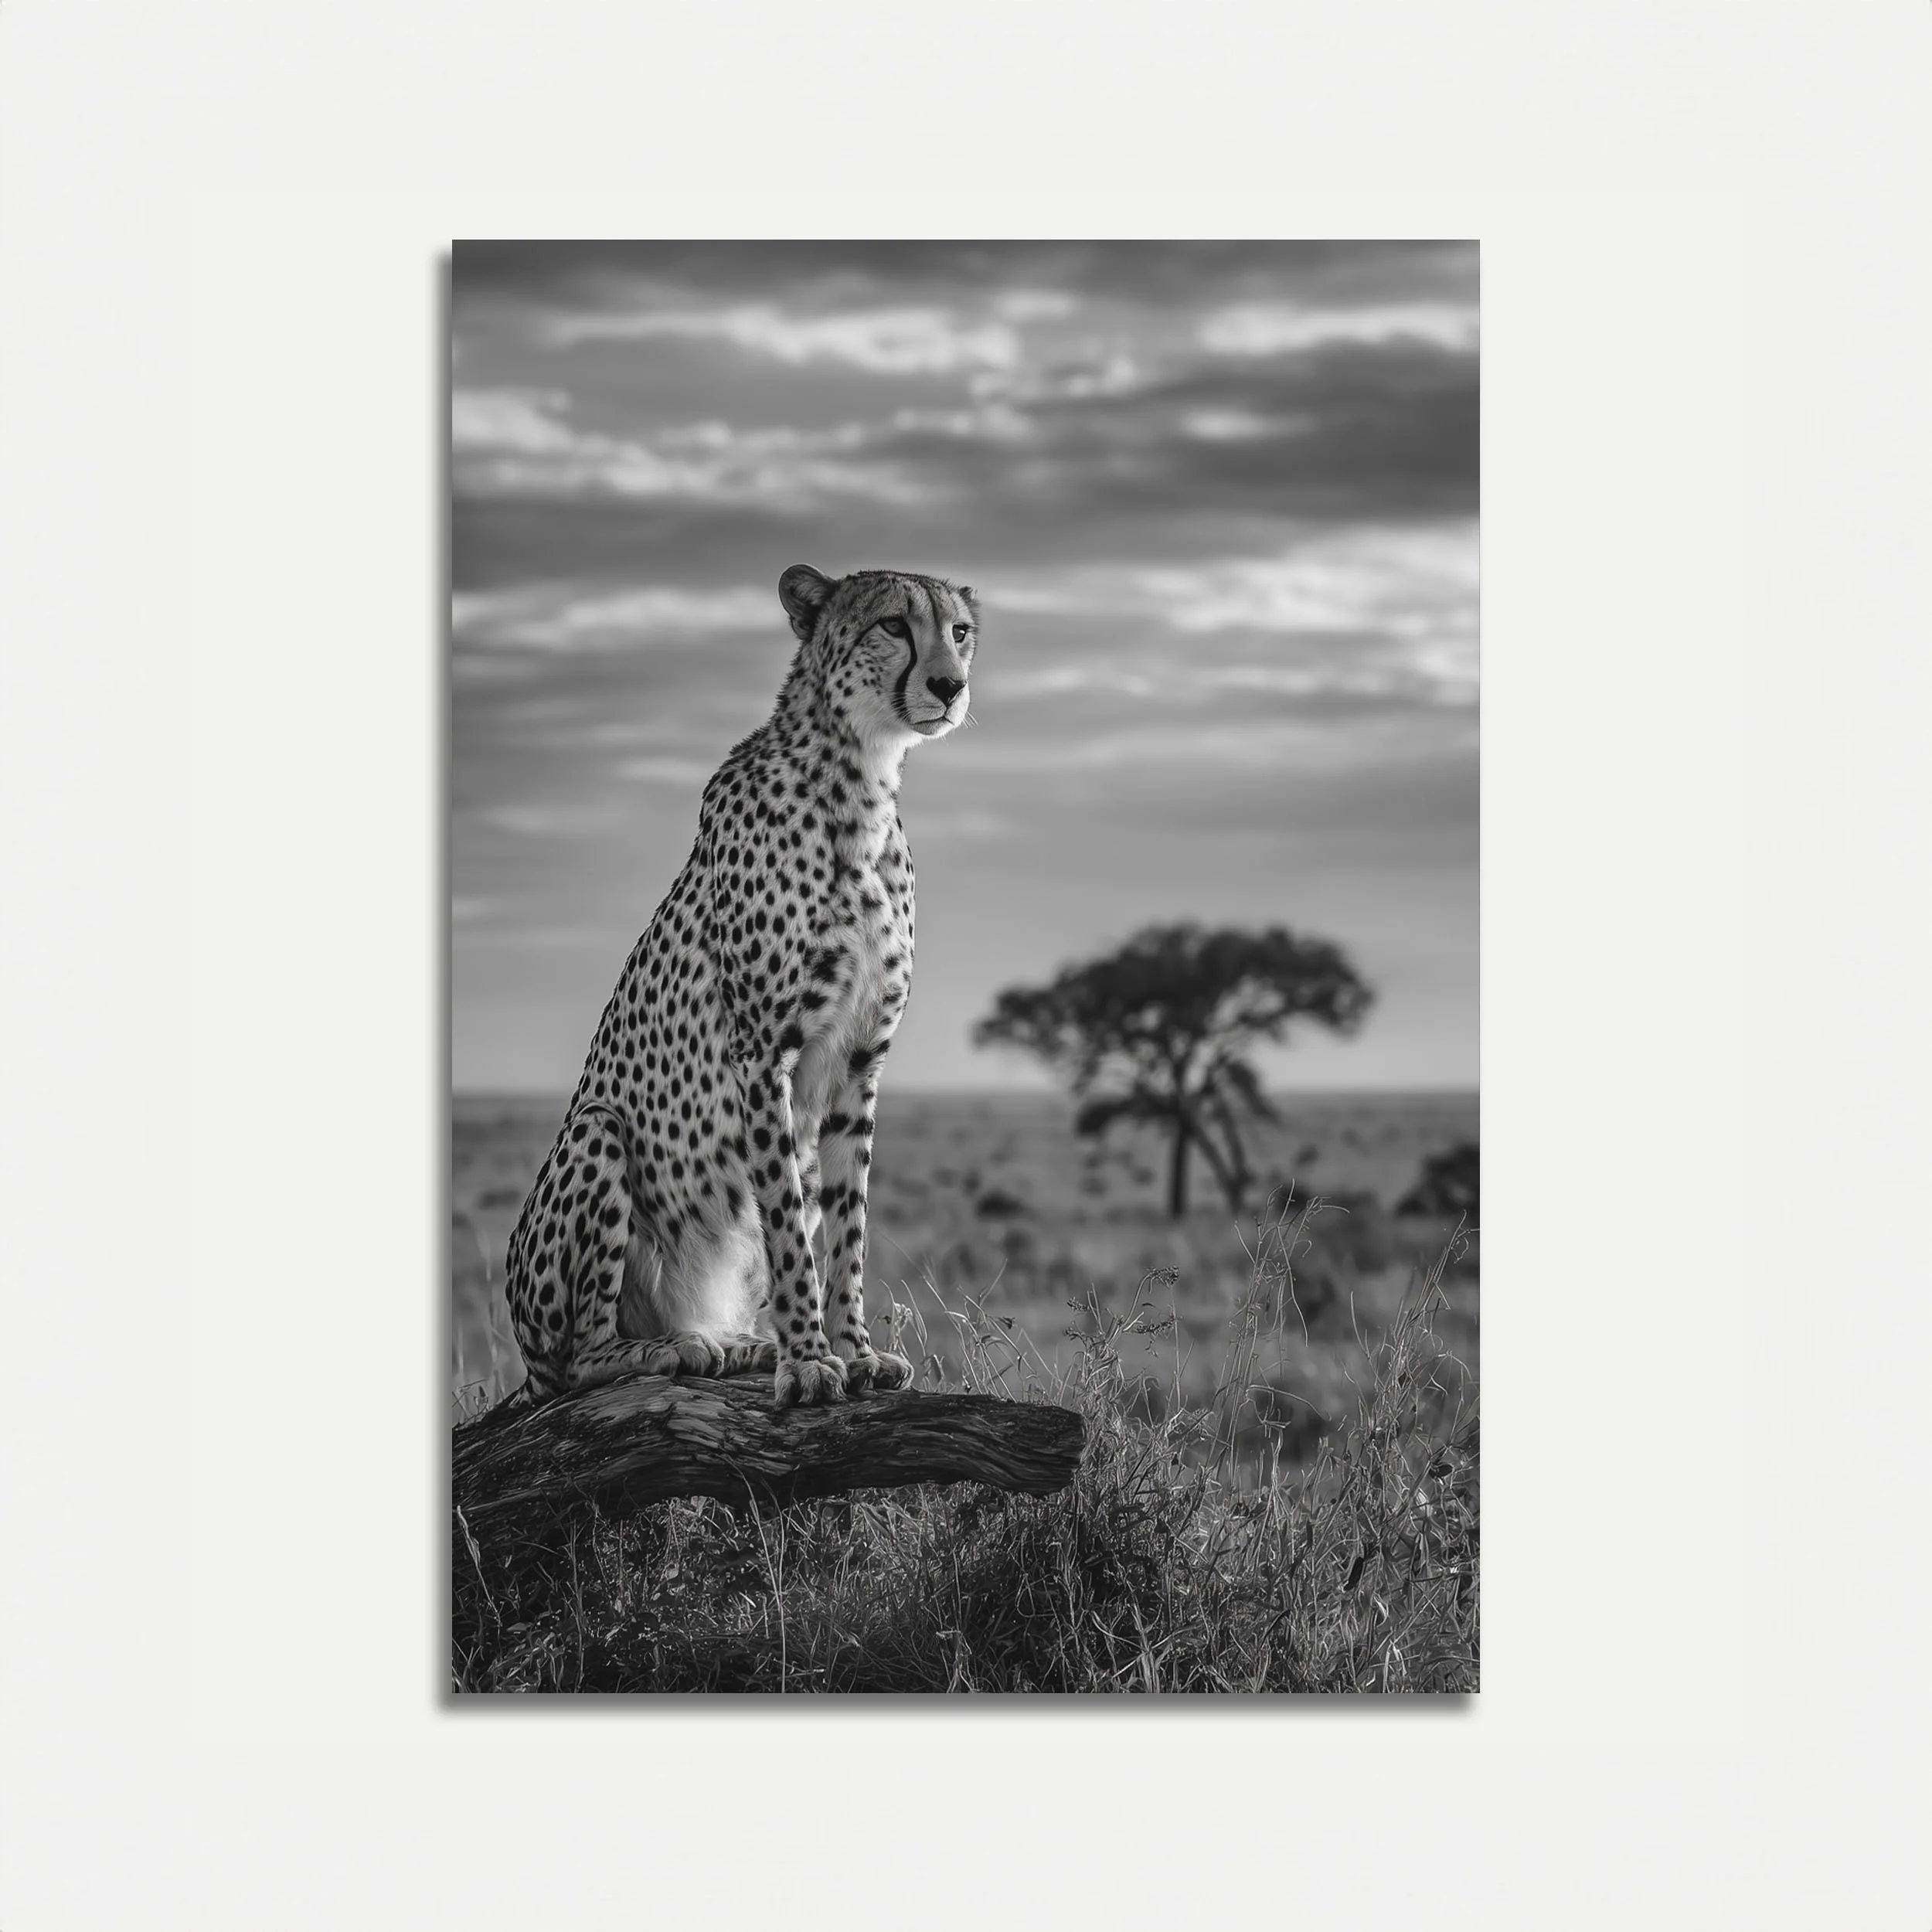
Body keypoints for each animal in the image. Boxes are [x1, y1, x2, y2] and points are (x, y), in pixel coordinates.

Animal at [502, 563, 977, 1409]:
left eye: (959, 631)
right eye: (892, 625)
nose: (950, 685)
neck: (860, 781)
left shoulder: (860, 1062)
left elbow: (845, 1227)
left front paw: (853, 1351)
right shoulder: (763, 1055)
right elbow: (787, 1224)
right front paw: (810, 1361)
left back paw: (736, 1343)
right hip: (597, 1132)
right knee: (576, 1360)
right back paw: (672, 1350)